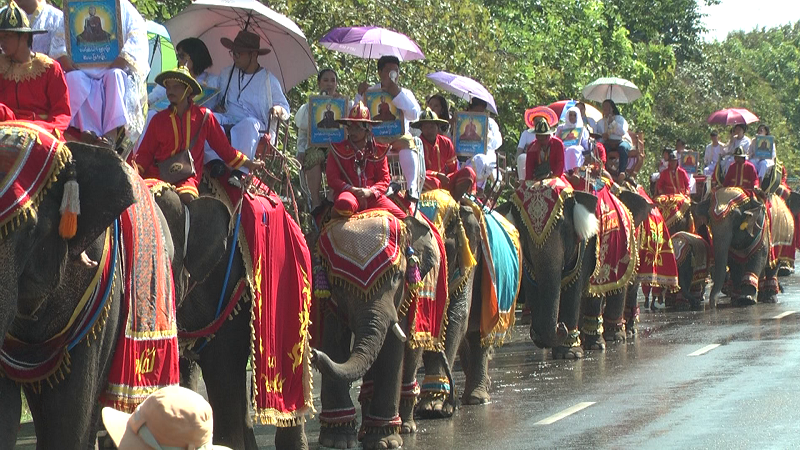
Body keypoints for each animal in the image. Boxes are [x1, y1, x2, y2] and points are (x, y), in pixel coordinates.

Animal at [310, 212, 438, 450]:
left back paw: (406, 427)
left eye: (397, 277)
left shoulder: (401, 298)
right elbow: (334, 342)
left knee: (411, 353)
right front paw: (337, 441)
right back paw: (364, 431)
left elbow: (393, 349)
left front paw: (385, 443)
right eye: (339, 285)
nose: (313, 354)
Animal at [506, 181, 648, 360]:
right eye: (523, 230)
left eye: (563, 226)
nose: (560, 326)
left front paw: (569, 355)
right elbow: (533, 286)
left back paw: (609, 339)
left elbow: (574, 289)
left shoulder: (586, 244)